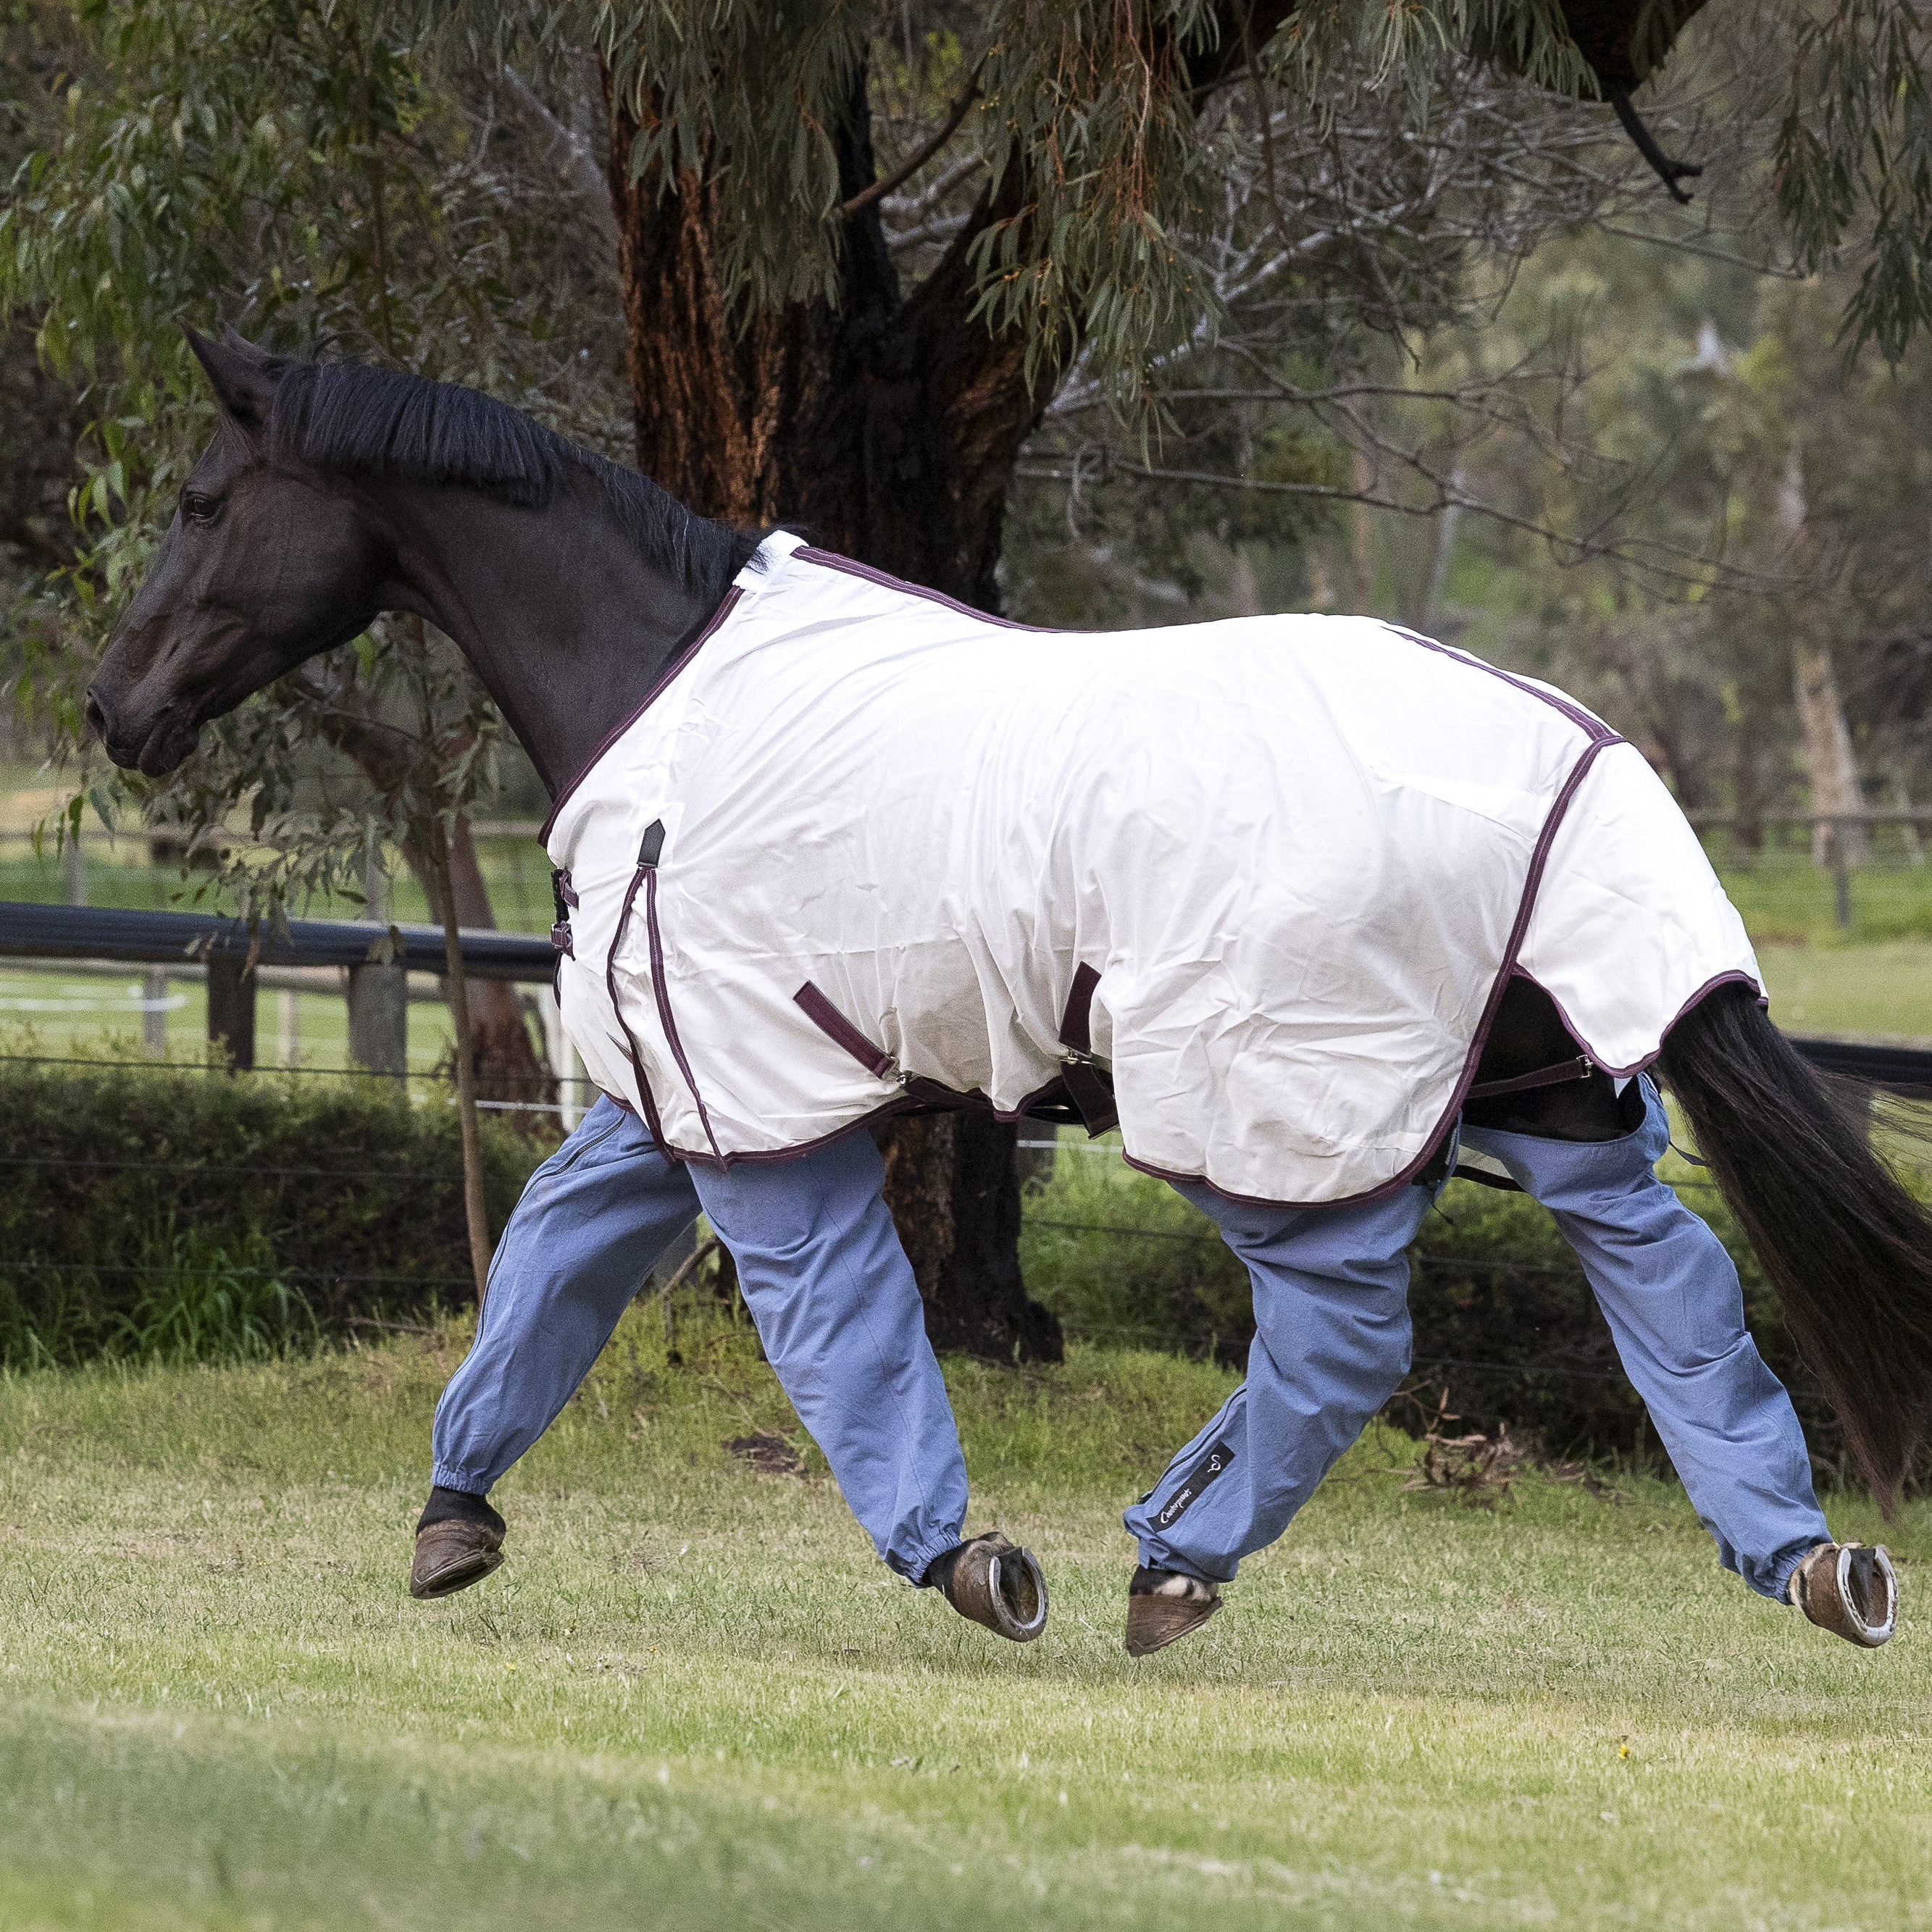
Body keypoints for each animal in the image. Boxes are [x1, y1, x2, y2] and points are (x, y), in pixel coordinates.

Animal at [88, 330, 1926, 1652]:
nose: (116, 710)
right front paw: (452, 1515)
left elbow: (830, 1321)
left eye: (199, 498)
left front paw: (967, 1559)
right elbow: (552, 1257)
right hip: (1531, 1095)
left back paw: (1172, 1564)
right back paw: (1809, 1562)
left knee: (1348, 1333)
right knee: (1663, 1281)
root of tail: (1572, 753)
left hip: (1271, 1100)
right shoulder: (668, 1086)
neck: (664, 688)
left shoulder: (748, 1090)